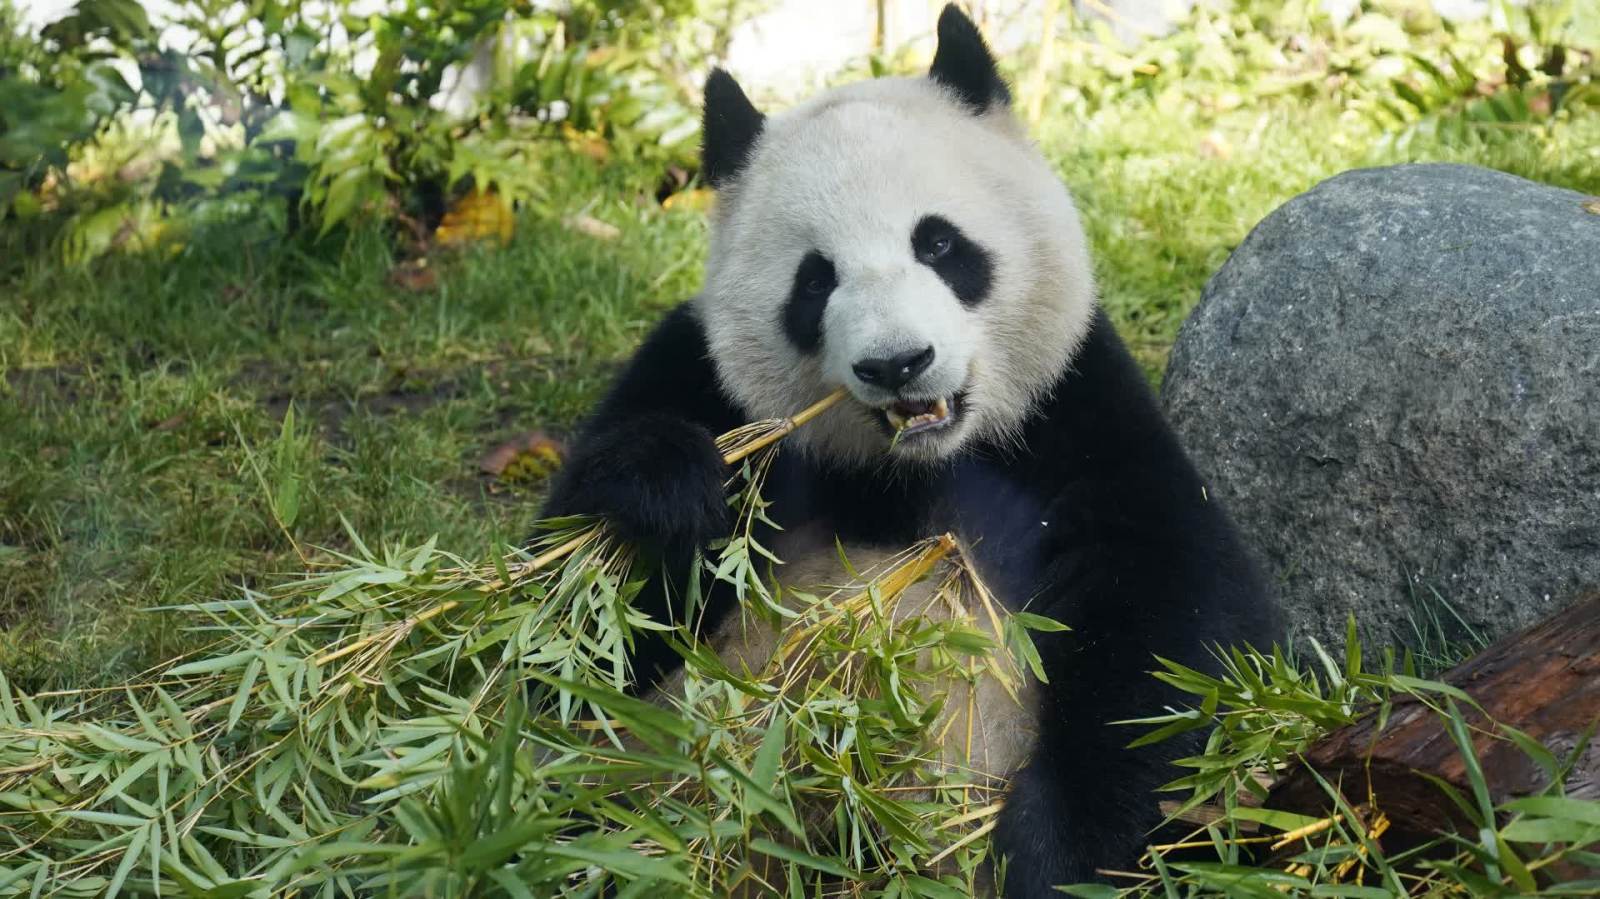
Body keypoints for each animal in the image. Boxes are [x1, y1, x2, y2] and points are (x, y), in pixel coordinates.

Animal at [544, 5, 1280, 889]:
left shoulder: (1074, 414)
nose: (896, 363)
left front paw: (1044, 857)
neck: (908, 469)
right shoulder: (699, 376)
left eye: (938, 244)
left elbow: (1175, 631)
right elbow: (578, 635)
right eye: (815, 279)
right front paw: (670, 489)